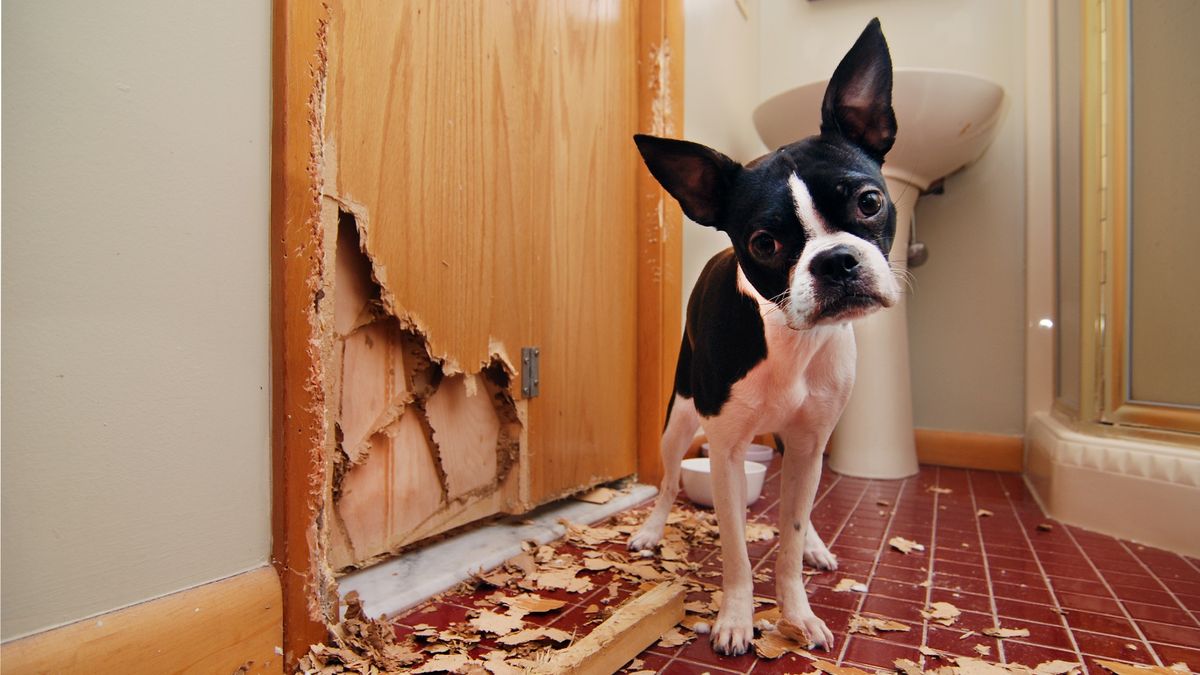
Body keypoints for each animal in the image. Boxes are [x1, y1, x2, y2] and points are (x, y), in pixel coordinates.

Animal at [628, 19, 902, 653]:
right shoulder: (726, 451)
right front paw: (736, 618)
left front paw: (797, 613)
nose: (837, 261)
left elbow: (790, 540)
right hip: (679, 419)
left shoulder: (806, 444)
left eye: (869, 202)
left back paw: (819, 546)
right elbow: (735, 551)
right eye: (764, 243)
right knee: (669, 479)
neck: (791, 343)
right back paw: (652, 529)